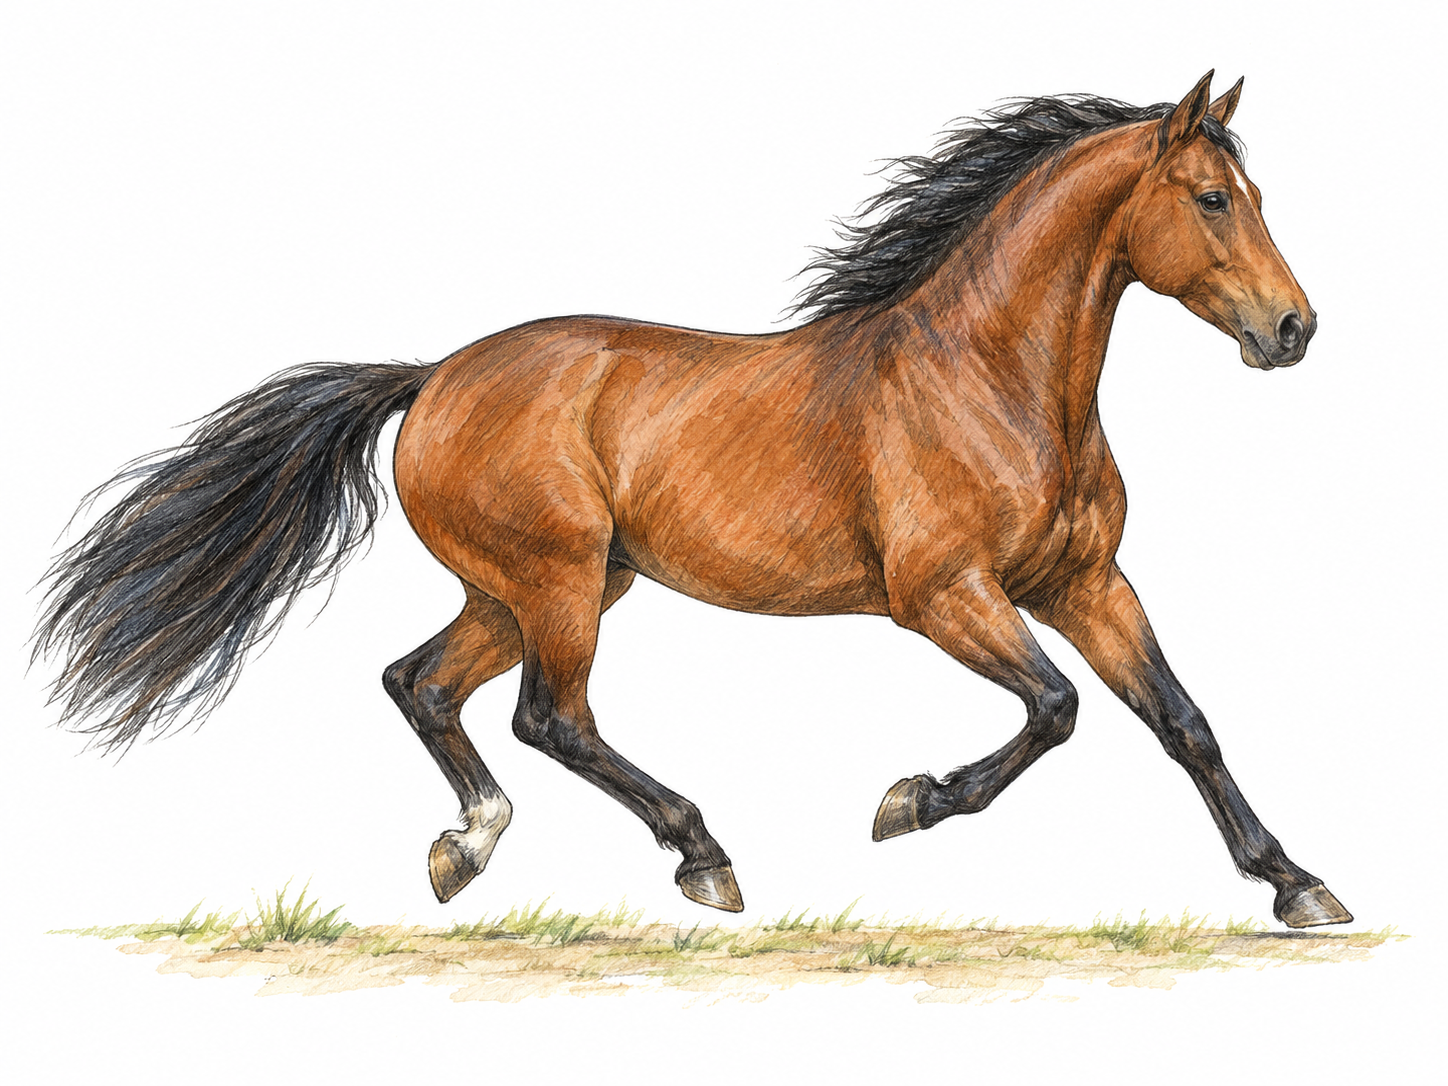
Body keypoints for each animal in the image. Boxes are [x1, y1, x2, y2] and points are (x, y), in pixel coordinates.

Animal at [34, 72, 1351, 928]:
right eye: (1212, 199)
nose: (1291, 330)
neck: (990, 380)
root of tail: (432, 375)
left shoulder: (1083, 581)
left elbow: (1179, 720)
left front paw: (1296, 885)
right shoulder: (942, 596)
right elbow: (1057, 709)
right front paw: (906, 804)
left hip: (535, 587)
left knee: (422, 684)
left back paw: (467, 848)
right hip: (560, 581)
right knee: (548, 718)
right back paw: (701, 858)